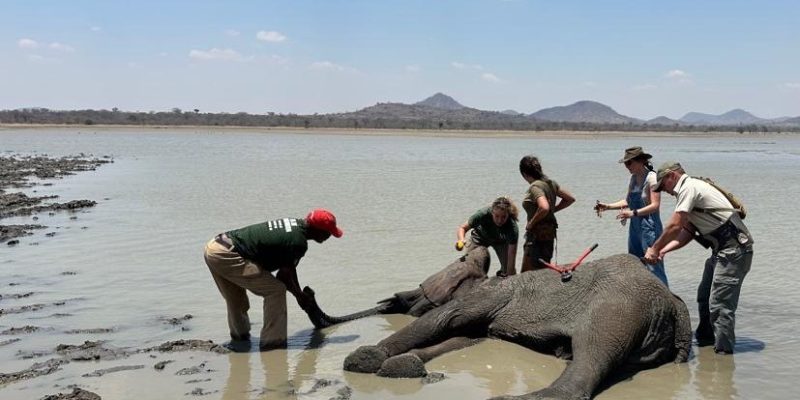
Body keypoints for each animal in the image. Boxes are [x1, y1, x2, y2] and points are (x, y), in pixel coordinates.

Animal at [313, 251, 691, 400]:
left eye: (411, 298)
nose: (394, 301)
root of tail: (673, 304)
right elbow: (463, 339)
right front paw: (405, 366)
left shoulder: (486, 296)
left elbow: (440, 320)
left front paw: (365, 359)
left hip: (618, 307)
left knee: (591, 354)